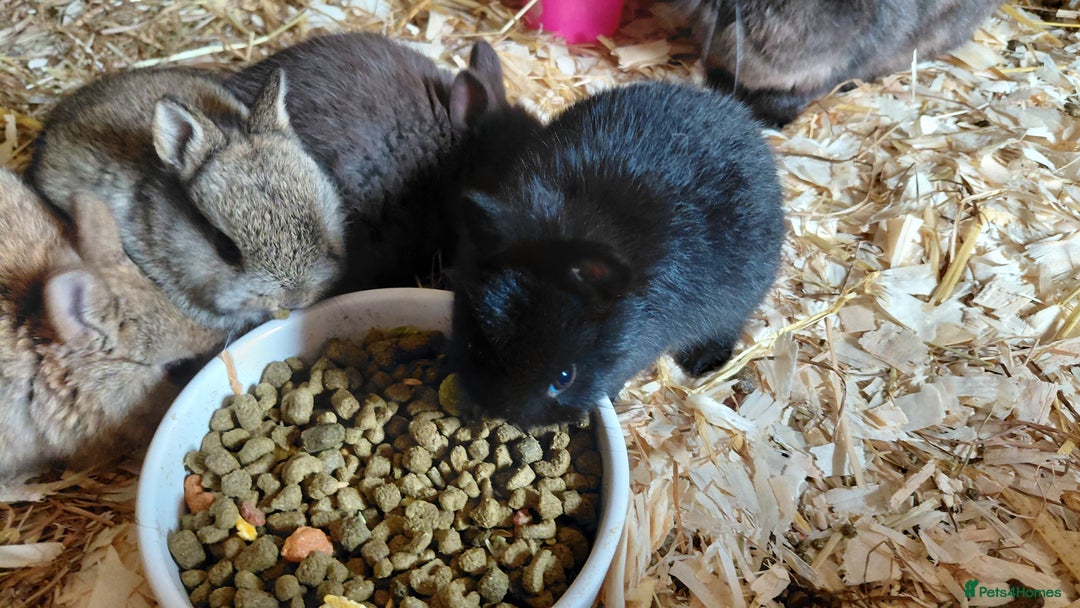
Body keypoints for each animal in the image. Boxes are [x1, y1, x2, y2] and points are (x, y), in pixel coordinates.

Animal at [447, 82, 786, 426]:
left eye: (565, 378)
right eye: (475, 343)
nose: (505, 414)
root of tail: (739, 116)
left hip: (740, 296)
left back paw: (704, 361)